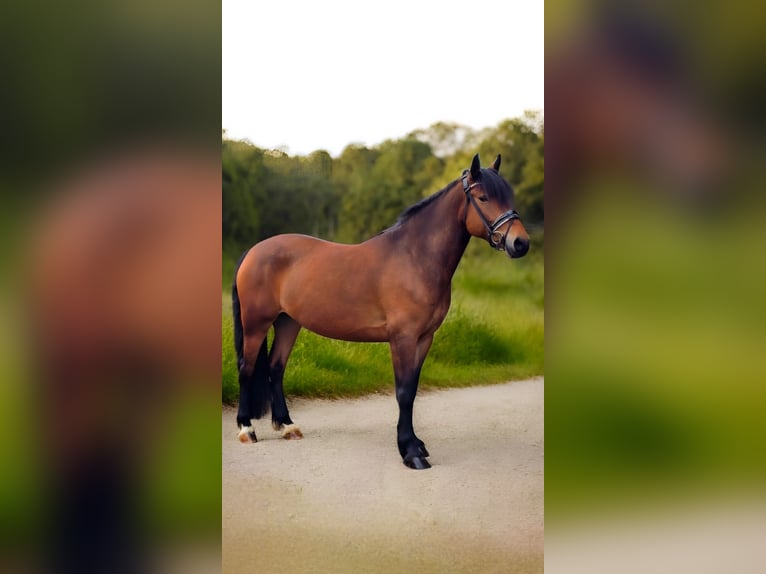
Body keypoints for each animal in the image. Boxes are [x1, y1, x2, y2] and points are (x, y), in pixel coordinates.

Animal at [232, 153, 530, 469]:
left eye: (509, 196)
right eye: (483, 197)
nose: (520, 243)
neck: (415, 257)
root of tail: (253, 251)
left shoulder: (424, 338)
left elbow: (413, 388)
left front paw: (416, 445)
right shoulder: (403, 338)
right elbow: (404, 393)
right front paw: (410, 452)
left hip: (288, 322)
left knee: (276, 368)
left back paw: (288, 426)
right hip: (256, 323)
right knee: (246, 368)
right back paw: (246, 429)